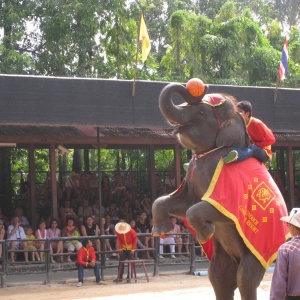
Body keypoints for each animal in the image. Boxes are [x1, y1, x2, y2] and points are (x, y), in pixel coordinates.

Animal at [152, 82, 288, 300]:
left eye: (201, 111)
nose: (199, 85)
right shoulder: (192, 178)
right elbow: (180, 203)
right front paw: (159, 231)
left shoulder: (230, 187)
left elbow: (205, 209)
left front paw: (204, 235)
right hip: (224, 257)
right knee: (218, 277)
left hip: (258, 252)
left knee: (245, 279)